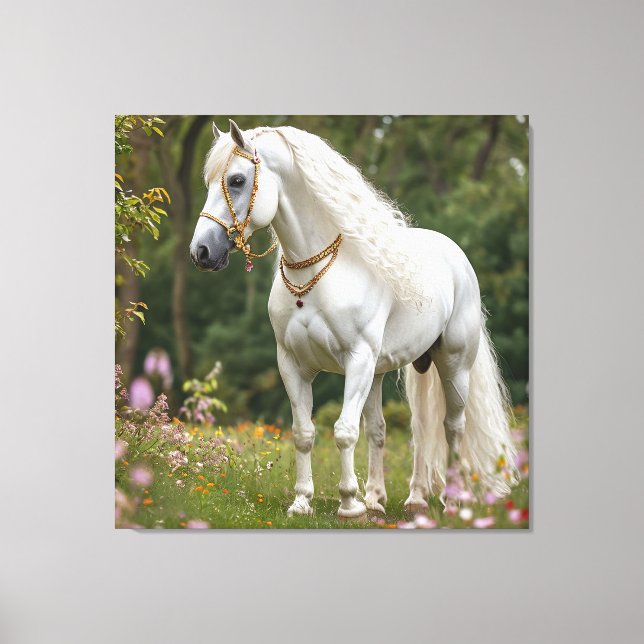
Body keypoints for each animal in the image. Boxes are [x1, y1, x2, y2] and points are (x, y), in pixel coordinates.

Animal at [190, 119, 518, 519]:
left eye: (236, 180)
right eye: (209, 182)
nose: (201, 251)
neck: (315, 276)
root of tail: (457, 257)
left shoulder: (357, 361)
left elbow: (344, 431)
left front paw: (349, 503)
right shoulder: (292, 364)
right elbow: (304, 433)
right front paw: (302, 502)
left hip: (453, 365)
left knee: (451, 427)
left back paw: (451, 500)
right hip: (384, 372)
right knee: (403, 429)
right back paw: (394, 498)